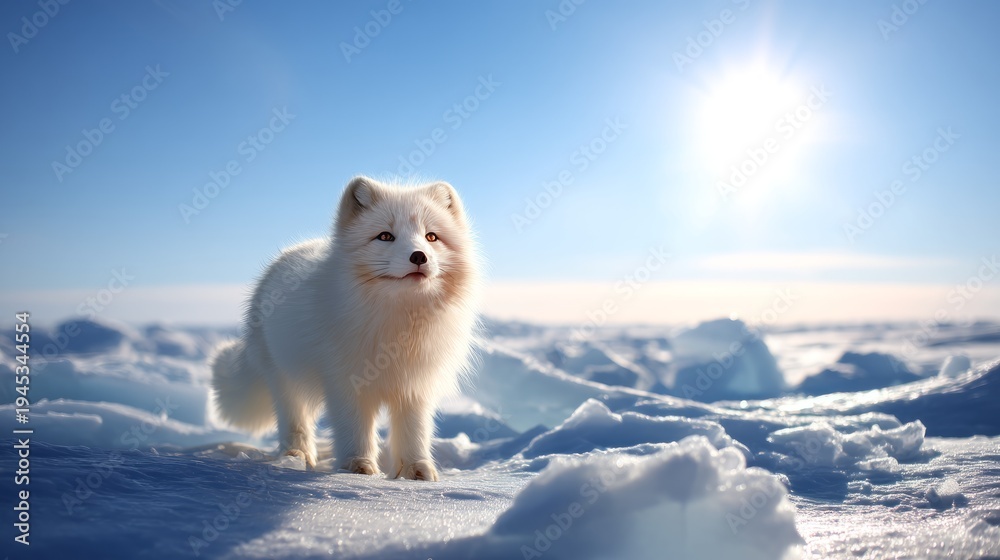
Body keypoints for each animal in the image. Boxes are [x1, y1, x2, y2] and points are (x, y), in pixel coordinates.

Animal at [210, 176, 481, 480]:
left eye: (431, 237)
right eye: (385, 236)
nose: (419, 257)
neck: (400, 324)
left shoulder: (415, 386)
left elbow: (415, 433)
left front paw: (417, 472)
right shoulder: (345, 383)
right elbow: (353, 429)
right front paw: (357, 469)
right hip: (283, 377)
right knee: (295, 421)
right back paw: (297, 457)